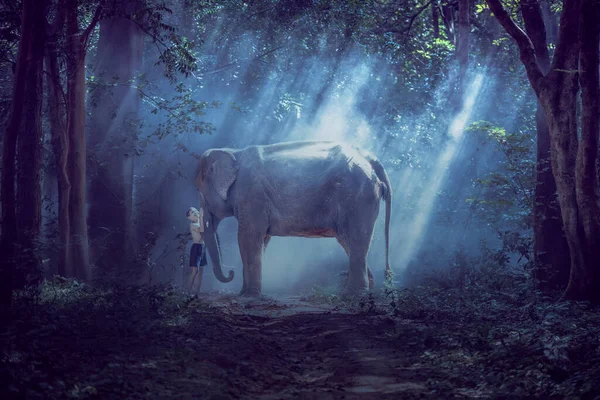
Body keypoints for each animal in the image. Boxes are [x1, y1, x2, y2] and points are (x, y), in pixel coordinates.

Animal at [195, 141, 392, 296]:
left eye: (201, 192)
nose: (231, 272)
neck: (234, 152)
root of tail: (371, 158)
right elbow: (261, 240)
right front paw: (243, 294)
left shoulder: (251, 195)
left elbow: (248, 237)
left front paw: (249, 297)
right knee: (349, 242)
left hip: (358, 196)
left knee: (355, 239)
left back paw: (351, 296)